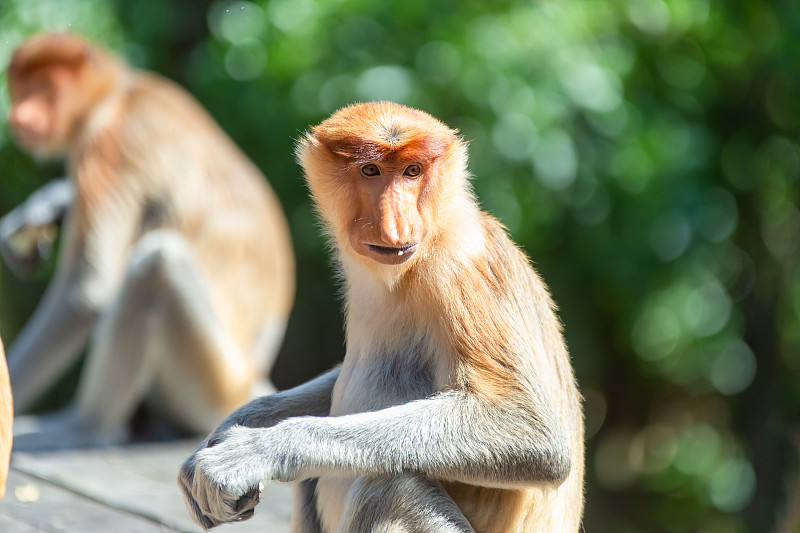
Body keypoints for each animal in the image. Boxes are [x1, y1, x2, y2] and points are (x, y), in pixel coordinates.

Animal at [1, 32, 296, 448]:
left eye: (45, 87)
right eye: (23, 86)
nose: (19, 116)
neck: (117, 94)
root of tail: (254, 378)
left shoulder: (108, 144)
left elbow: (86, 292)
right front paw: (42, 208)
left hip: (214, 383)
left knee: (156, 263)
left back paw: (83, 428)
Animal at [178, 101, 584, 532]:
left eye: (412, 171)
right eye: (370, 170)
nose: (395, 225)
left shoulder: (460, 269)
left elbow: (532, 432)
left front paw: (255, 450)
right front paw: (226, 431)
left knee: (390, 488)